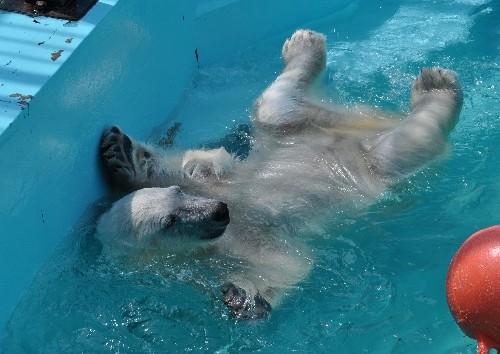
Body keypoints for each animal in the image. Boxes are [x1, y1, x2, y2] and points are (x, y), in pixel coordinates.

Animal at [95, 29, 462, 318]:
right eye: (169, 222)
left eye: (179, 195)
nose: (219, 211)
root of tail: (363, 124)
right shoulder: (230, 246)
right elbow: (286, 263)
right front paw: (243, 297)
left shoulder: (219, 191)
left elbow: (200, 166)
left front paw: (121, 154)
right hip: (361, 155)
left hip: (295, 130)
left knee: (275, 107)